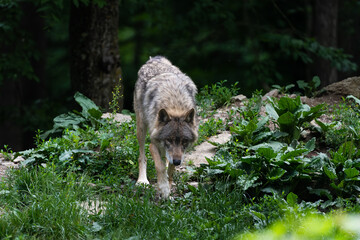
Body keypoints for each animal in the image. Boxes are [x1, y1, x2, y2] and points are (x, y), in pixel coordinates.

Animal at [134, 56, 198, 199]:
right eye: (169, 139)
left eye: (184, 141)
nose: (177, 162)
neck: (175, 105)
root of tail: (155, 59)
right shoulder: (153, 144)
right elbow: (160, 167)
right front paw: (163, 188)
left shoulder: (178, 154)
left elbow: (170, 170)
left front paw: (167, 190)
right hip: (141, 128)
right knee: (142, 156)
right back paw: (142, 181)